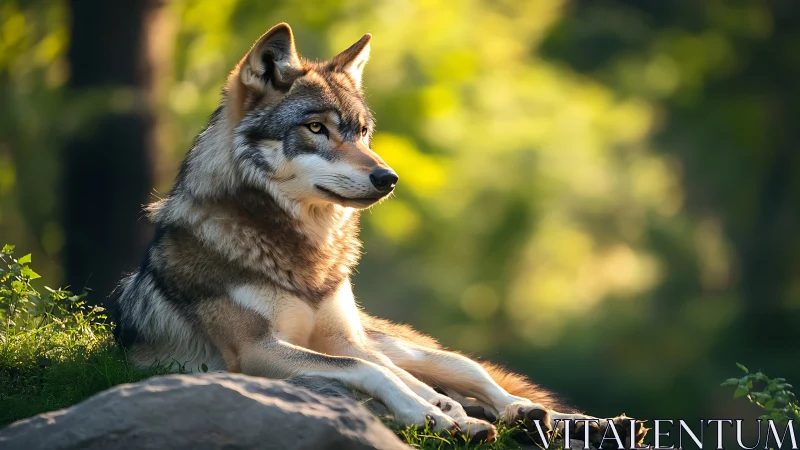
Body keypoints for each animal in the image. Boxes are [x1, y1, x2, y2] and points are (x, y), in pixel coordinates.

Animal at [112, 23, 646, 444]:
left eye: (363, 132)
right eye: (316, 128)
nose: (388, 177)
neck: (308, 254)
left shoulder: (344, 341)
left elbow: (391, 376)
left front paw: (442, 414)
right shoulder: (256, 350)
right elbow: (376, 376)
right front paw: (438, 418)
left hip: (414, 349)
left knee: (478, 381)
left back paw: (553, 416)